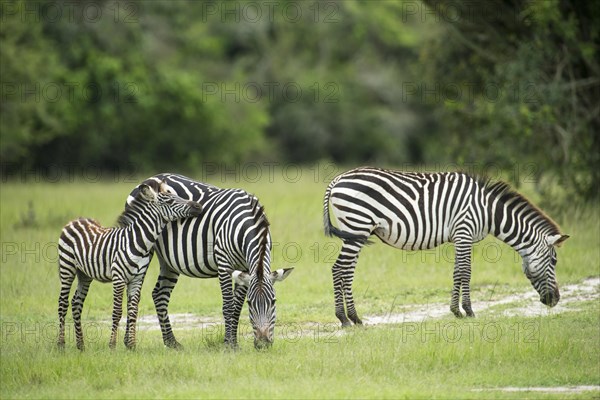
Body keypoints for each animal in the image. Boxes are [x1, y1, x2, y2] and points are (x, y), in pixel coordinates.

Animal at [58, 181, 204, 350]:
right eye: (169, 201)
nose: (198, 206)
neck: (137, 241)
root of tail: (75, 220)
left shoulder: (137, 279)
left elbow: (133, 311)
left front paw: (132, 346)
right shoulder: (118, 278)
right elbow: (117, 311)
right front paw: (112, 345)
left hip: (84, 274)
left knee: (76, 303)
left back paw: (81, 345)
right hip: (66, 267)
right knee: (63, 303)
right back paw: (60, 344)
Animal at [127, 173, 296, 348]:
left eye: (274, 302)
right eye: (250, 304)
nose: (263, 344)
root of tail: (152, 178)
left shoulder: (244, 268)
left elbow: (236, 307)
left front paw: (234, 342)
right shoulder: (223, 262)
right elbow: (228, 305)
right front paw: (229, 345)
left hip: (169, 261)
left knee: (159, 294)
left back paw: (171, 342)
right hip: (142, 246)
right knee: (134, 294)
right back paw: (130, 343)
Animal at [322, 167, 568, 326]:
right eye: (554, 261)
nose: (555, 300)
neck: (488, 212)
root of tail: (337, 179)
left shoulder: (460, 236)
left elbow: (457, 272)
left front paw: (456, 311)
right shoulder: (464, 230)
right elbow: (466, 272)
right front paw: (468, 311)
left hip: (354, 232)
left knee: (346, 270)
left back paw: (353, 318)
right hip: (357, 226)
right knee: (339, 269)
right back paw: (345, 319)